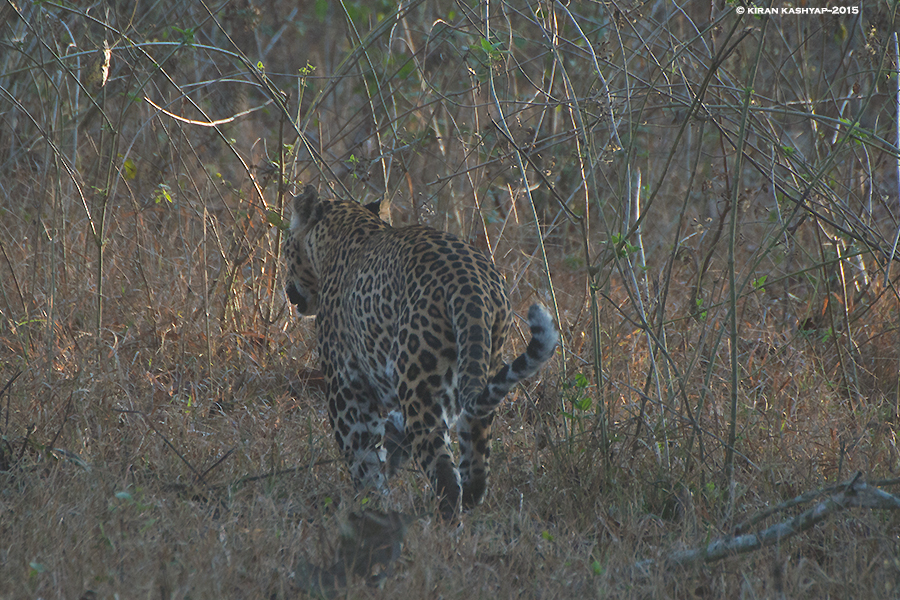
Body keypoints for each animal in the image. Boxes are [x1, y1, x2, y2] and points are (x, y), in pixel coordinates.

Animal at [282, 185, 556, 516]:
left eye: (286, 246)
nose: (288, 288)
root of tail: (470, 286)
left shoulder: (345, 387)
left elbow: (362, 457)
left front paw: (369, 504)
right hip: (480, 371)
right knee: (476, 469)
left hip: (419, 385)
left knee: (444, 473)